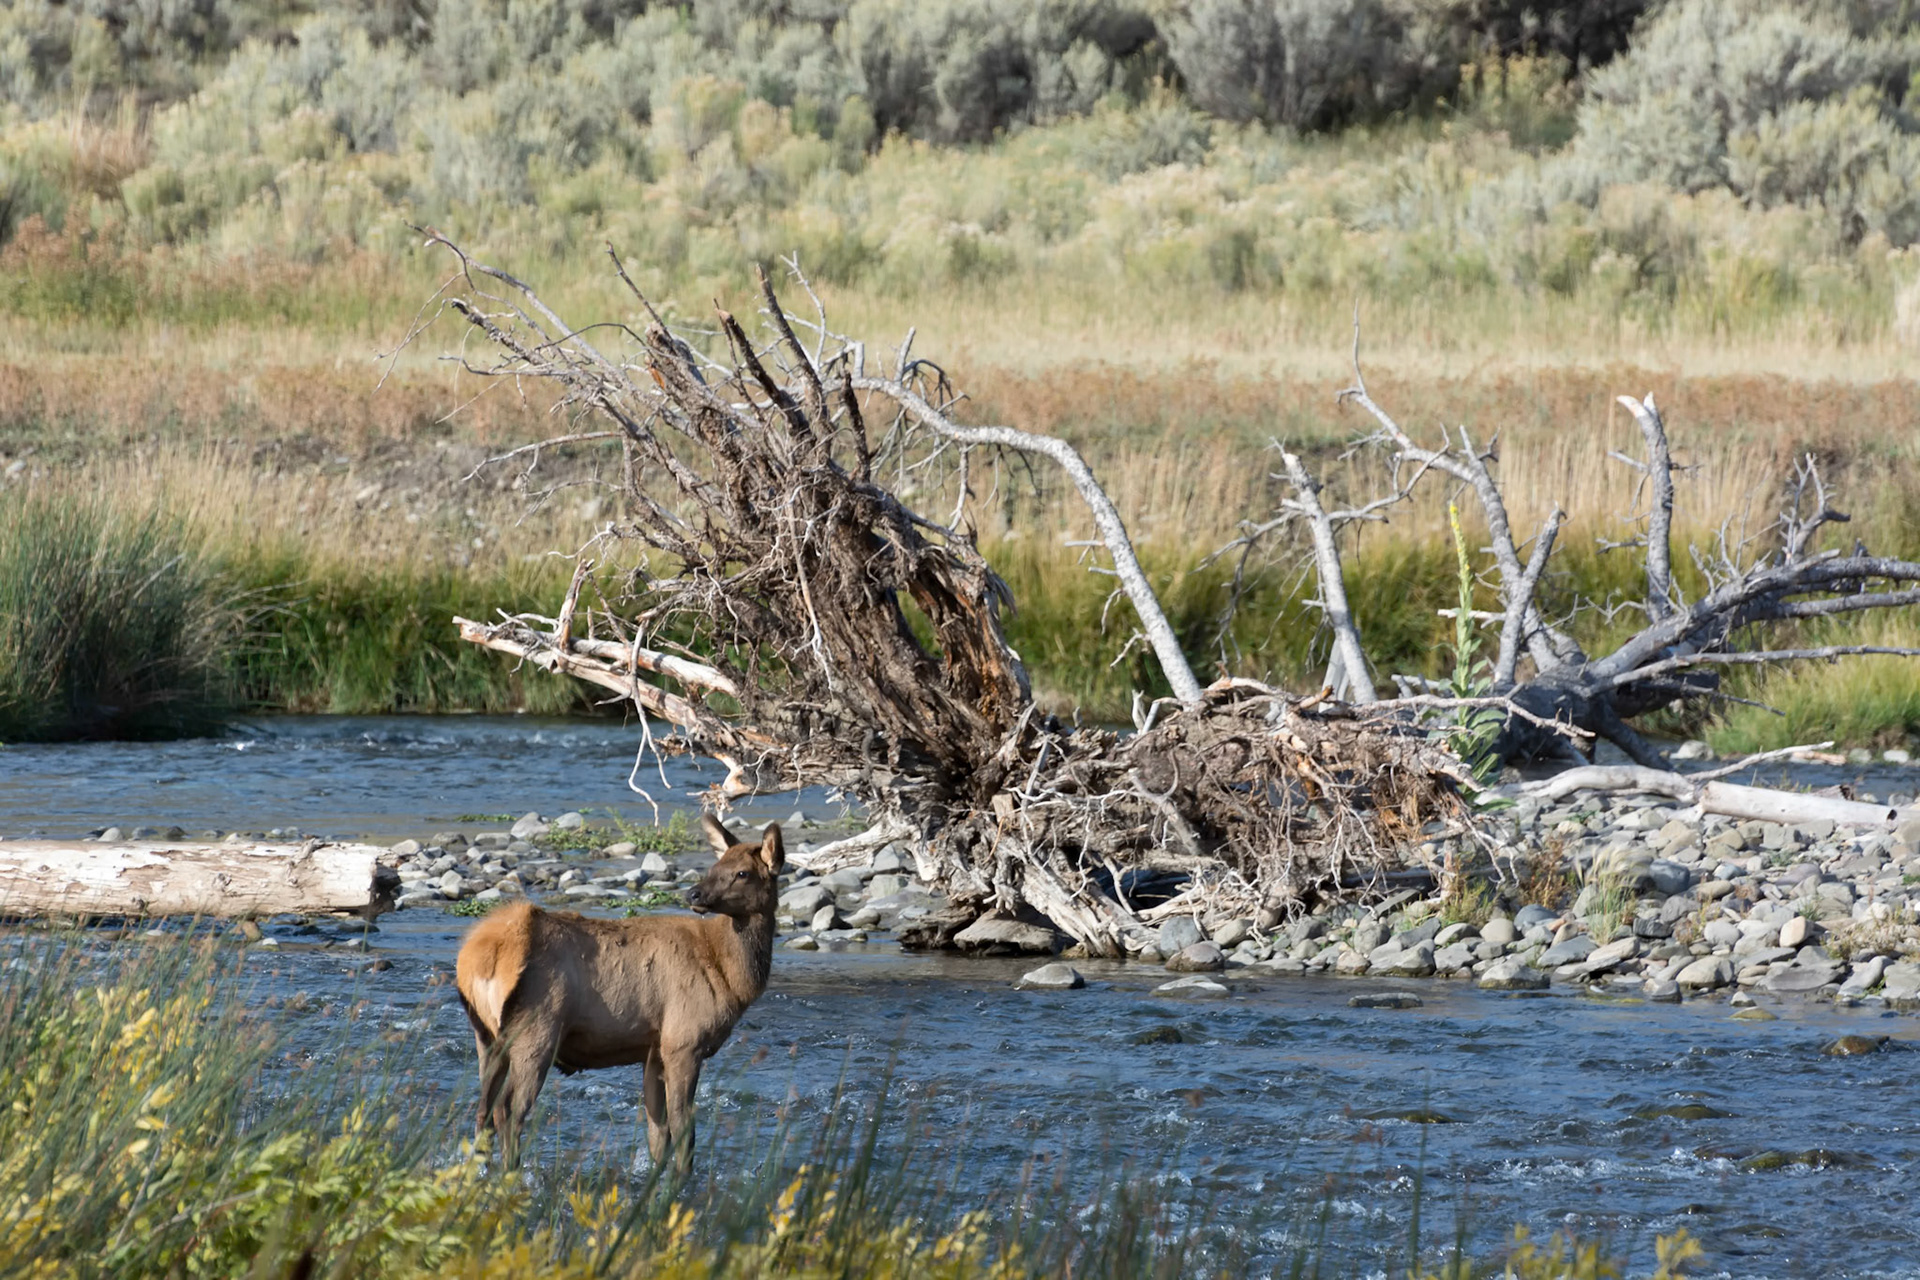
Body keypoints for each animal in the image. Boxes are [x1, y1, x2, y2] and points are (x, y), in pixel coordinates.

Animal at [453, 815, 784, 1170]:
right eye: (718, 865)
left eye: (742, 872)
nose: (694, 894)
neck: (732, 978)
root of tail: (478, 958)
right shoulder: (683, 1041)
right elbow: (684, 1131)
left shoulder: (654, 1049)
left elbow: (658, 1134)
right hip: (536, 1031)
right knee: (507, 1110)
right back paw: (510, 1173)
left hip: (487, 1037)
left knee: (483, 1109)